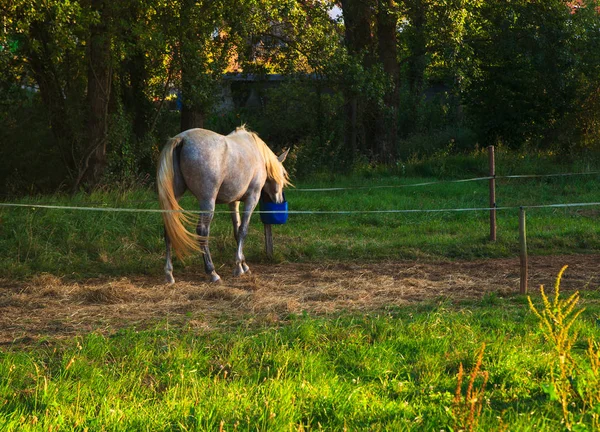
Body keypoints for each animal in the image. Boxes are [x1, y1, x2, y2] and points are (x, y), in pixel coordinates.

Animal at [156, 125, 290, 284]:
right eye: (283, 174)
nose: (279, 200)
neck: (255, 152)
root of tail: (182, 139)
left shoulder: (234, 202)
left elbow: (237, 231)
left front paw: (244, 265)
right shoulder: (252, 198)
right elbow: (243, 230)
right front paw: (238, 267)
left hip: (174, 199)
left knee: (169, 230)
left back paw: (169, 274)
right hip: (207, 201)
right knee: (202, 231)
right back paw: (212, 272)